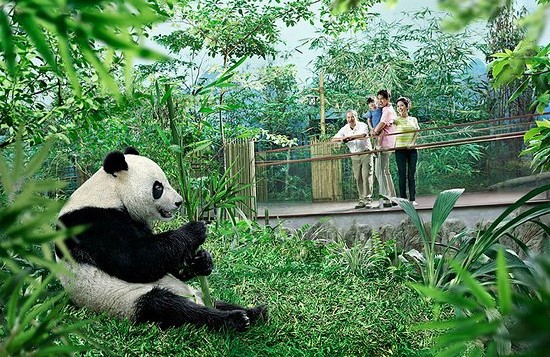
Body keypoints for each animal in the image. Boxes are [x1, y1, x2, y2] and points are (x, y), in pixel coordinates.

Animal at [56, 146, 270, 330]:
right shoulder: (91, 223)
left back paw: (255, 312)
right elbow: (136, 260)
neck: (109, 192)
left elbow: (166, 263)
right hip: (126, 300)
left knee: (215, 301)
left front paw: (203, 260)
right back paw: (234, 320)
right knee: (170, 308)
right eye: (158, 187)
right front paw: (196, 229)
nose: (179, 202)